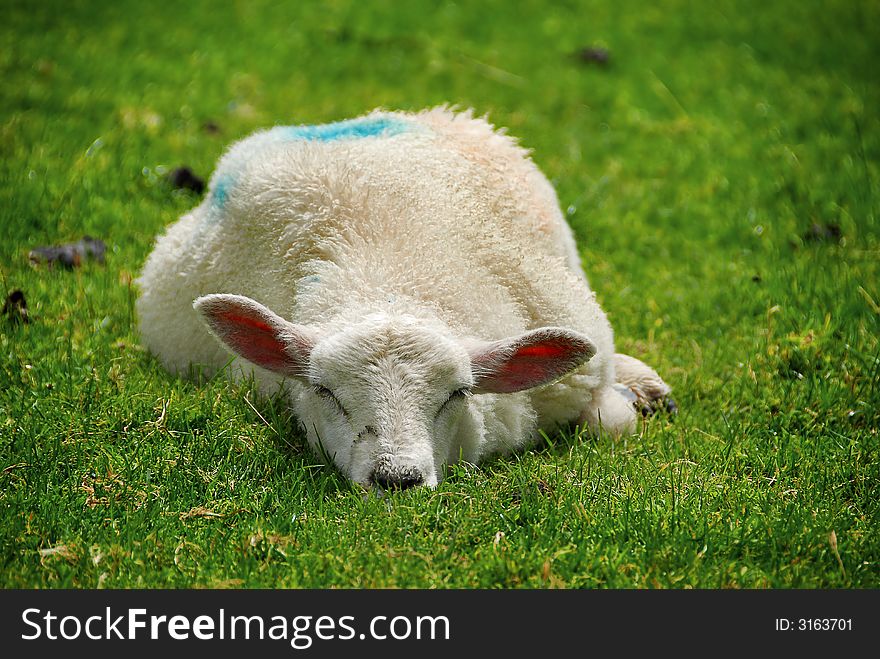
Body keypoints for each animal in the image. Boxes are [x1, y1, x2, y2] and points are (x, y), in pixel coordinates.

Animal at [139, 107, 672, 490]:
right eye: (324, 392)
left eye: (458, 394)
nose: (397, 479)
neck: (389, 273)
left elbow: (609, 422)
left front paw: (631, 395)